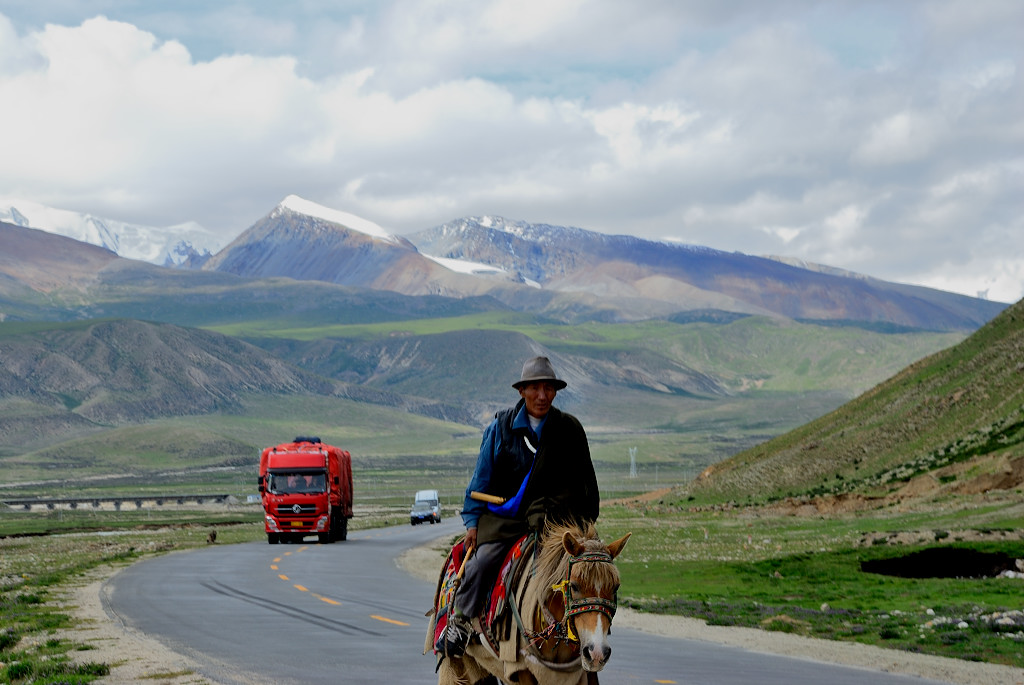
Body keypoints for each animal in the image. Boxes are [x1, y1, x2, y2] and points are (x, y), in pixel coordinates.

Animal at [425, 518, 630, 683]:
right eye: (574, 585)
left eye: (615, 587)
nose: (597, 653)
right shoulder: (521, 670)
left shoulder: (581, 673)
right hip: (457, 662)